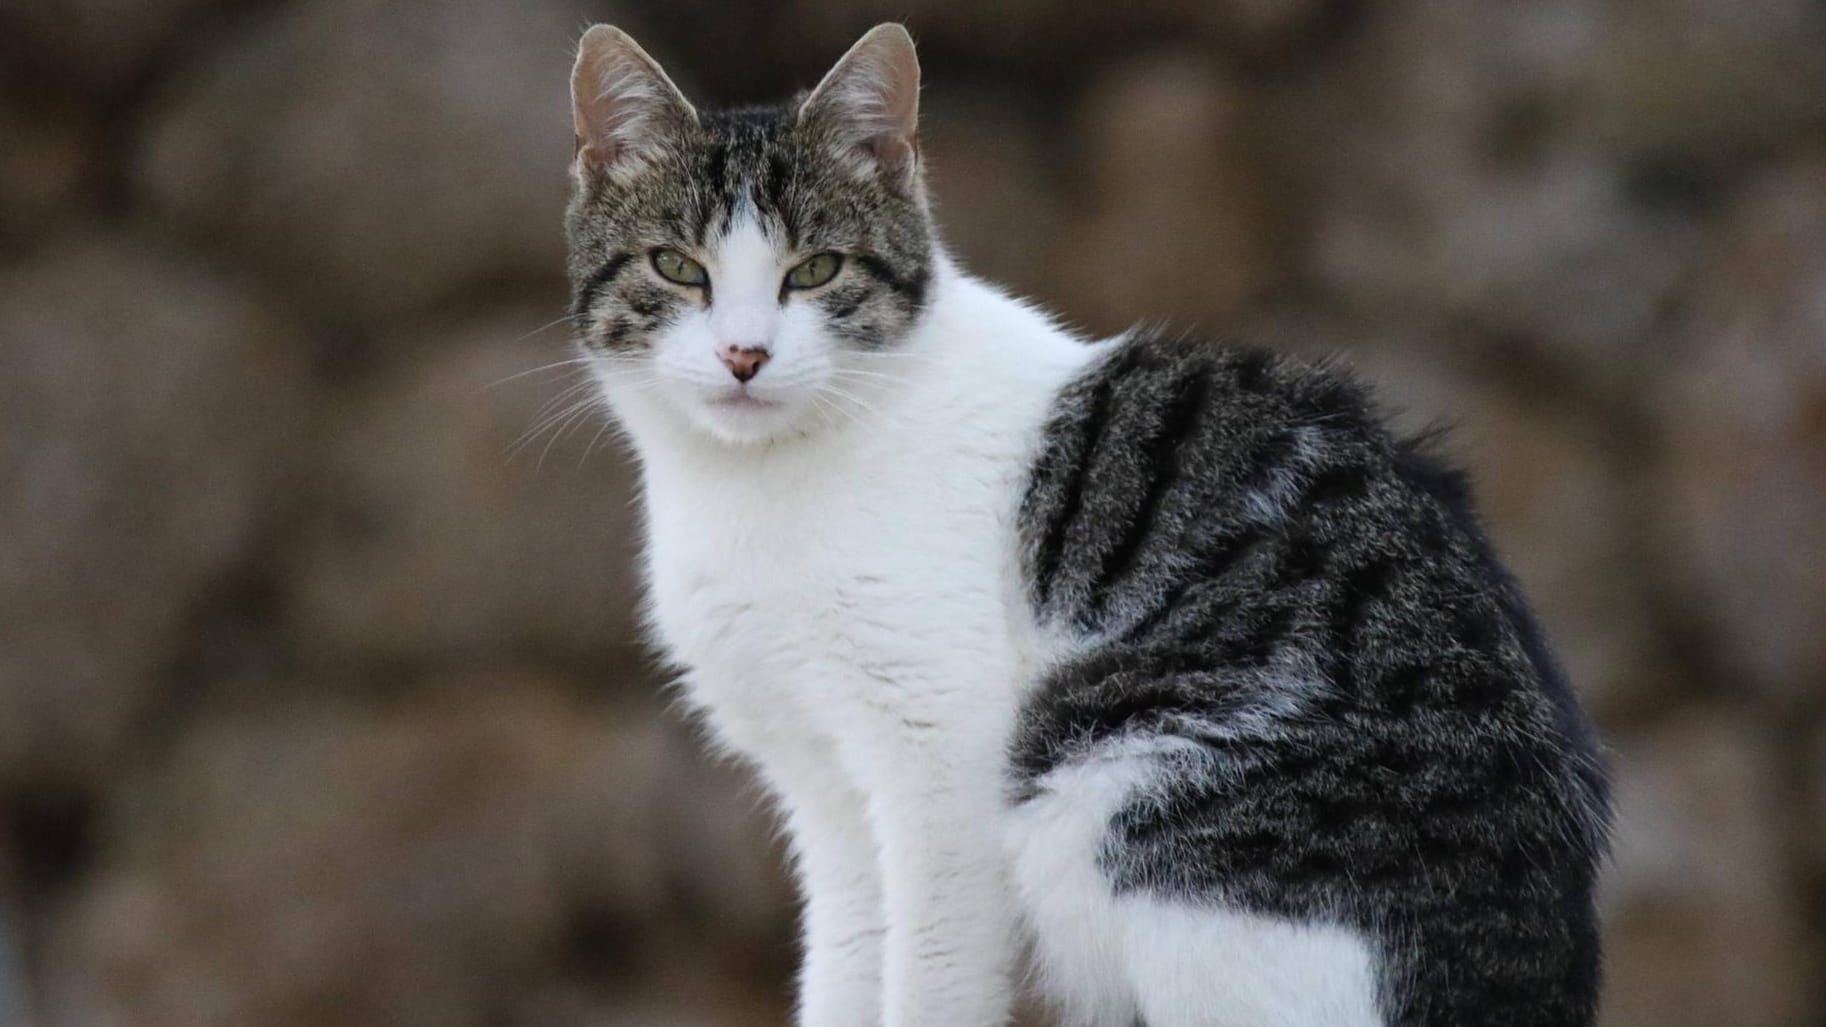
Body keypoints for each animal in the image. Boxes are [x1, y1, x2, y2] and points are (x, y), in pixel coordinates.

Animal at [562, 21, 1606, 1023]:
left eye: (815, 270)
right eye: (676, 266)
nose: (744, 354)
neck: (754, 485)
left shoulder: (940, 758)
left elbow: (931, 975)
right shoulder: (823, 789)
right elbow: (848, 961)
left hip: (1114, 773)